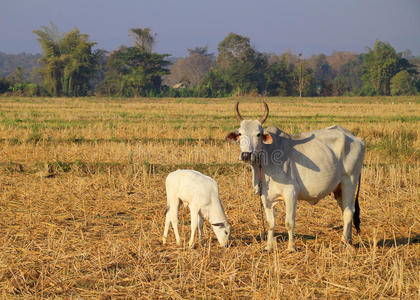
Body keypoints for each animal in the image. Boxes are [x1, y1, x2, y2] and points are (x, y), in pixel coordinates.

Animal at [226, 102, 364, 251]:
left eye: (258, 134)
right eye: (240, 133)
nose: (246, 155)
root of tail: (356, 138)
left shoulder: (291, 193)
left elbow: (289, 222)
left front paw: (291, 247)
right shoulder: (265, 197)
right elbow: (270, 223)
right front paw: (269, 246)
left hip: (349, 181)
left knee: (349, 211)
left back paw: (344, 242)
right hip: (338, 189)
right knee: (345, 211)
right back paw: (348, 240)